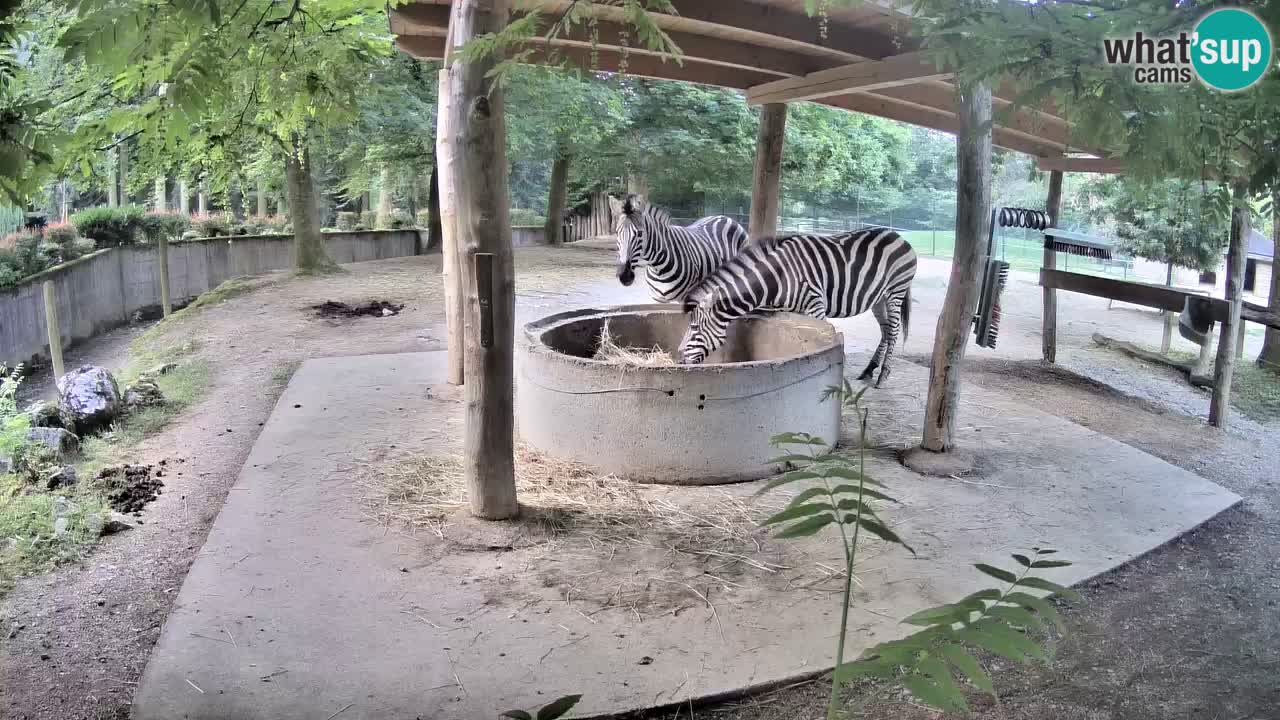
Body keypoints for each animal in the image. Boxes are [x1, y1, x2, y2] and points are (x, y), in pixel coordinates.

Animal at [608, 194, 749, 303]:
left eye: (639, 233)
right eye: (616, 233)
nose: (624, 275)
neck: (658, 268)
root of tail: (725, 217)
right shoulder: (656, 300)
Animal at [678, 228, 917, 387]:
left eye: (695, 328)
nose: (680, 361)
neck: (778, 277)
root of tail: (898, 235)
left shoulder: (816, 306)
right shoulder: (795, 312)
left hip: (895, 291)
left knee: (894, 331)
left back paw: (883, 375)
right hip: (878, 298)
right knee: (885, 330)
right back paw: (869, 370)